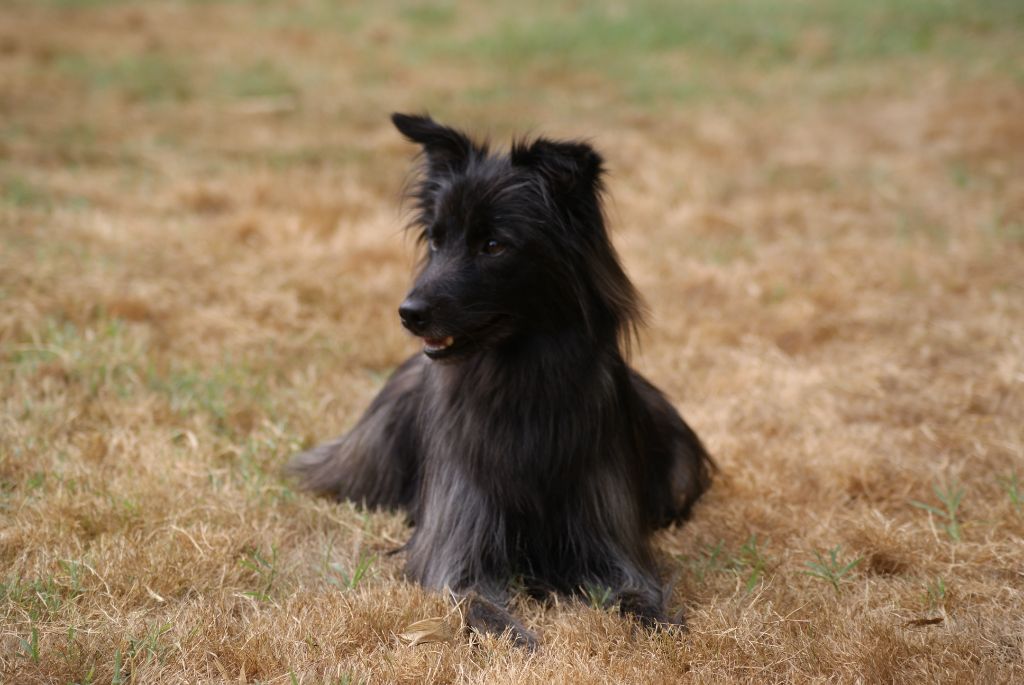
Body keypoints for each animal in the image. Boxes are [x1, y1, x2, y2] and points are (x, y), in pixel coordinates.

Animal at [290, 113, 712, 647]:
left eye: (493, 245)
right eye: (436, 239)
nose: (408, 313)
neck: (520, 383)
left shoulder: (610, 539)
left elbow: (639, 591)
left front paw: (660, 625)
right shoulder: (457, 545)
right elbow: (477, 601)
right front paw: (518, 639)